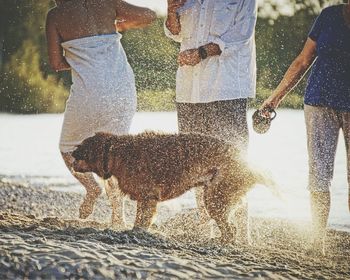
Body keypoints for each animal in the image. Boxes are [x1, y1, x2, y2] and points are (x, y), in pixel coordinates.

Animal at [72, 132, 276, 243]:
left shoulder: (147, 197)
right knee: (230, 229)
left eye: (80, 150)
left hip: (215, 199)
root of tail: (250, 166)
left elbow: (140, 222)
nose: (71, 155)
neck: (115, 152)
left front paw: (135, 233)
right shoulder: (147, 199)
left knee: (231, 229)